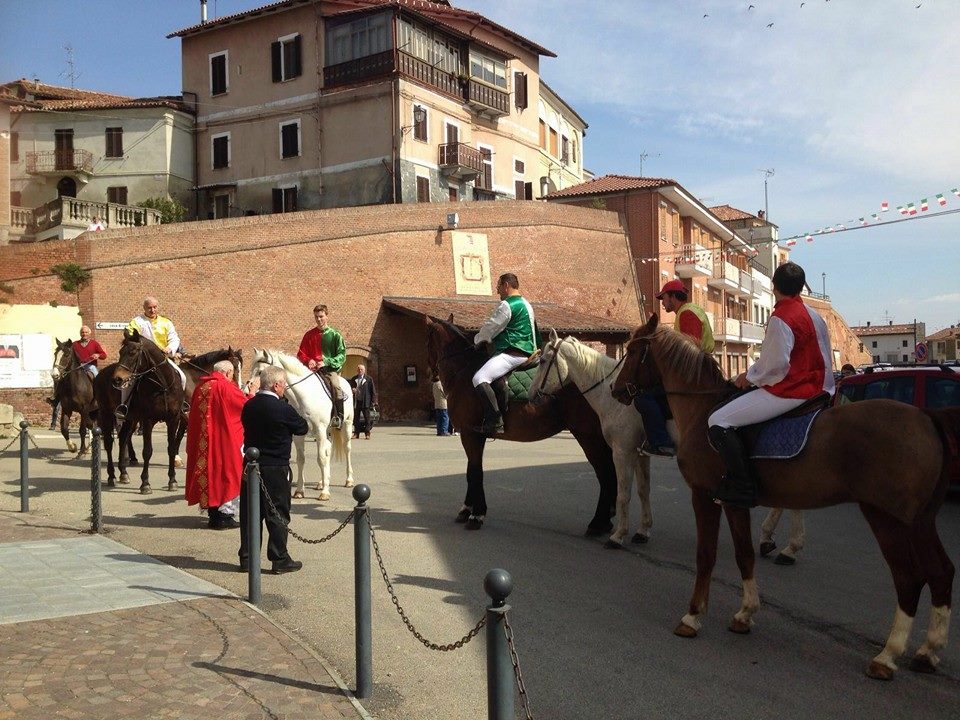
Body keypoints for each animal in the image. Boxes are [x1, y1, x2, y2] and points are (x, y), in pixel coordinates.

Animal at [94, 330, 188, 496]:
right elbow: (147, 451)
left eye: (132, 352)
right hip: (106, 415)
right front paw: (145, 484)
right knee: (109, 443)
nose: (116, 379)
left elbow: (171, 449)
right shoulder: (147, 421)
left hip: (129, 419)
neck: (163, 386)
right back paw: (112, 476)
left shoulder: (173, 420)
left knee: (123, 439)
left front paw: (172, 481)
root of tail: (101, 374)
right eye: (120, 352)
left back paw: (123, 474)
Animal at [246, 348, 354, 500]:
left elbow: (321, 458)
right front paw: (299, 491)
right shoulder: (298, 434)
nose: (246, 390)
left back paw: (348, 480)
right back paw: (321, 482)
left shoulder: (320, 430)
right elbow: (301, 459)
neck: (304, 396)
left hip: (346, 425)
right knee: (328, 450)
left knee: (346, 449)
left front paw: (325, 492)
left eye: (261, 371)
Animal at [426, 316, 620, 536]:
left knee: (604, 472)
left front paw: (476, 515)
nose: (431, 374)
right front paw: (467, 509)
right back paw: (605, 520)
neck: (463, 370)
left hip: (588, 437)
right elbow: (470, 471)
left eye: (427, 341)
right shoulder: (473, 436)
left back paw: (598, 523)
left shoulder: (470, 435)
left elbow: (475, 473)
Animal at [528, 330, 656, 544]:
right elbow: (643, 489)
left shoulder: (623, 451)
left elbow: (624, 493)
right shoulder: (640, 453)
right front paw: (642, 531)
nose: (531, 395)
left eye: (543, 360)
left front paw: (618, 536)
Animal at [612, 316, 956, 680]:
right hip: (920, 521)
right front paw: (745, 613)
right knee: (941, 572)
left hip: (887, 519)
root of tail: (926, 417)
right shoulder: (733, 502)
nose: (616, 390)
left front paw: (692, 616)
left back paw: (888, 655)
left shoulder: (703, 496)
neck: (703, 411)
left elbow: (705, 555)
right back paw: (928, 651)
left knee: (909, 578)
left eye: (632, 352)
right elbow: (745, 555)